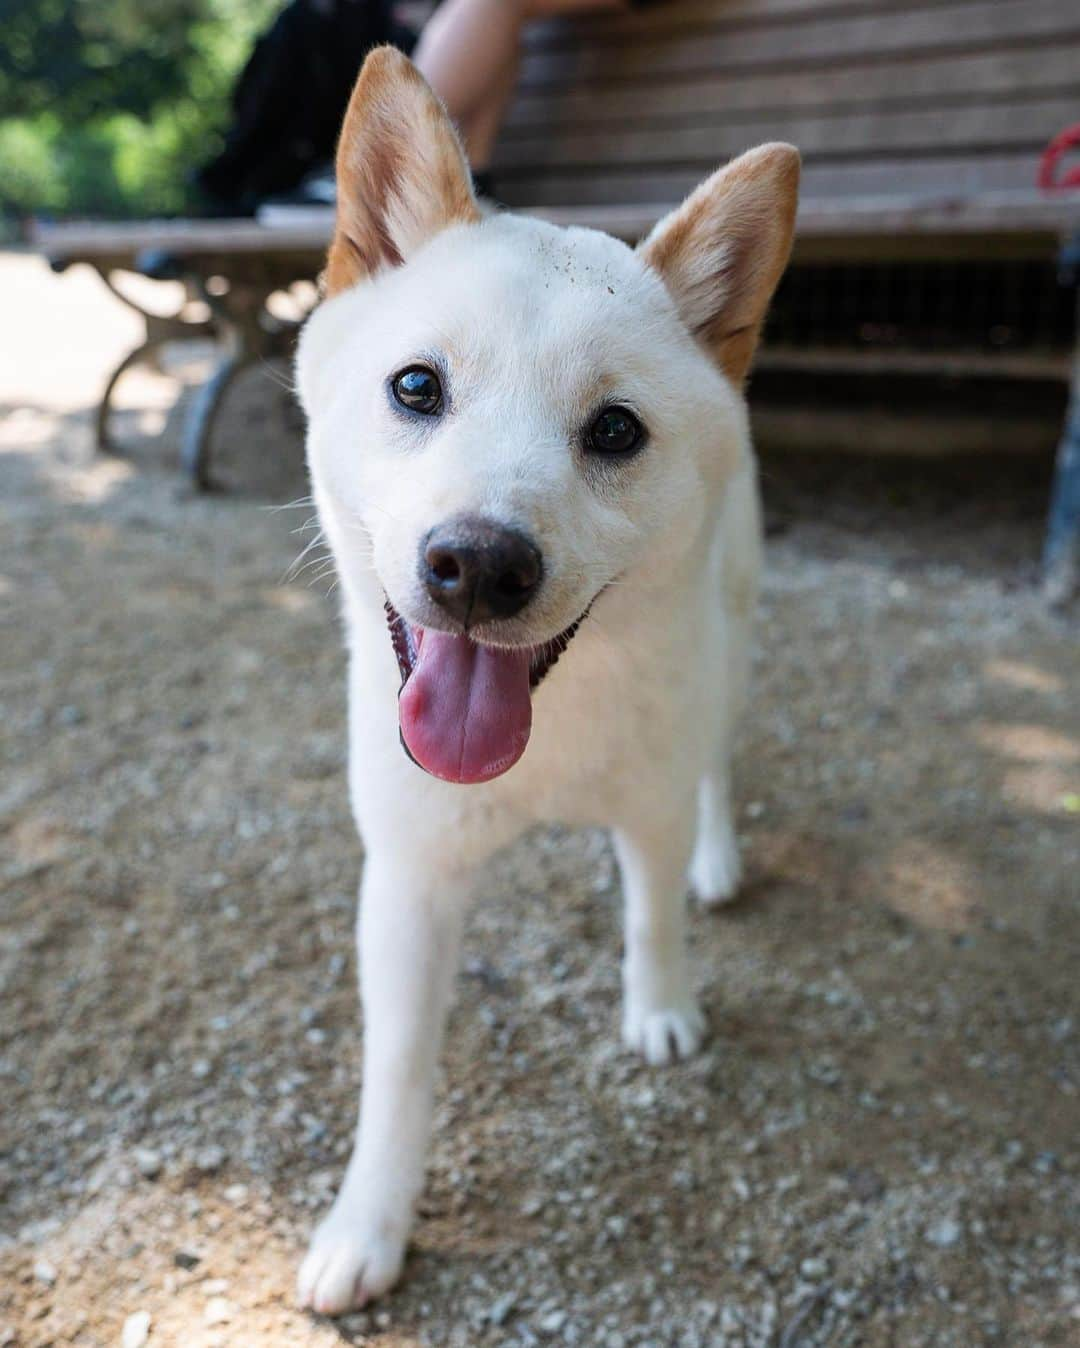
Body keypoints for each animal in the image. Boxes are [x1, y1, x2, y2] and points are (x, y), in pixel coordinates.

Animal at [291, 47, 798, 1310]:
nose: (478, 563)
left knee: (719, 760)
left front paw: (661, 1010)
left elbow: (652, 916)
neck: (547, 732)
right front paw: (367, 1226)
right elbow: (398, 1074)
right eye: (416, 387)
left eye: (615, 429)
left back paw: (721, 855)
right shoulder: (411, 877)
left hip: (734, 635)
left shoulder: (648, 809)